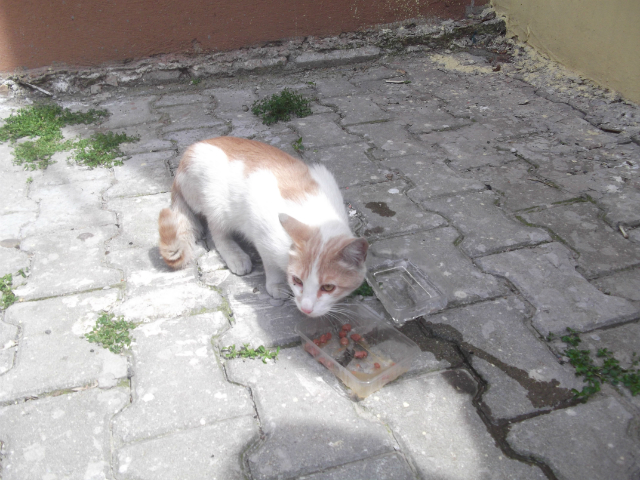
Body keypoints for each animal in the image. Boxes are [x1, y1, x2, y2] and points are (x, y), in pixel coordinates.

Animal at [158, 138, 368, 318]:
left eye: (328, 288)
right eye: (297, 281)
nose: (306, 308)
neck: (317, 219)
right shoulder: (260, 221)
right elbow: (269, 261)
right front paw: (276, 284)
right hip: (214, 198)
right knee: (216, 232)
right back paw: (235, 255)